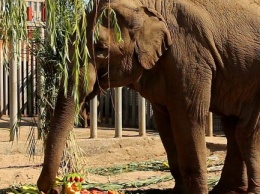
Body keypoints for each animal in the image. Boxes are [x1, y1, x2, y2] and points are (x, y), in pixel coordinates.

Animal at [37, 0, 260, 193]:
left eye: (100, 49)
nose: (56, 187)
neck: (149, 6)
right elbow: (164, 121)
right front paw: (178, 192)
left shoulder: (191, 57)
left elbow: (189, 116)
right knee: (234, 128)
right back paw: (229, 190)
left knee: (243, 130)